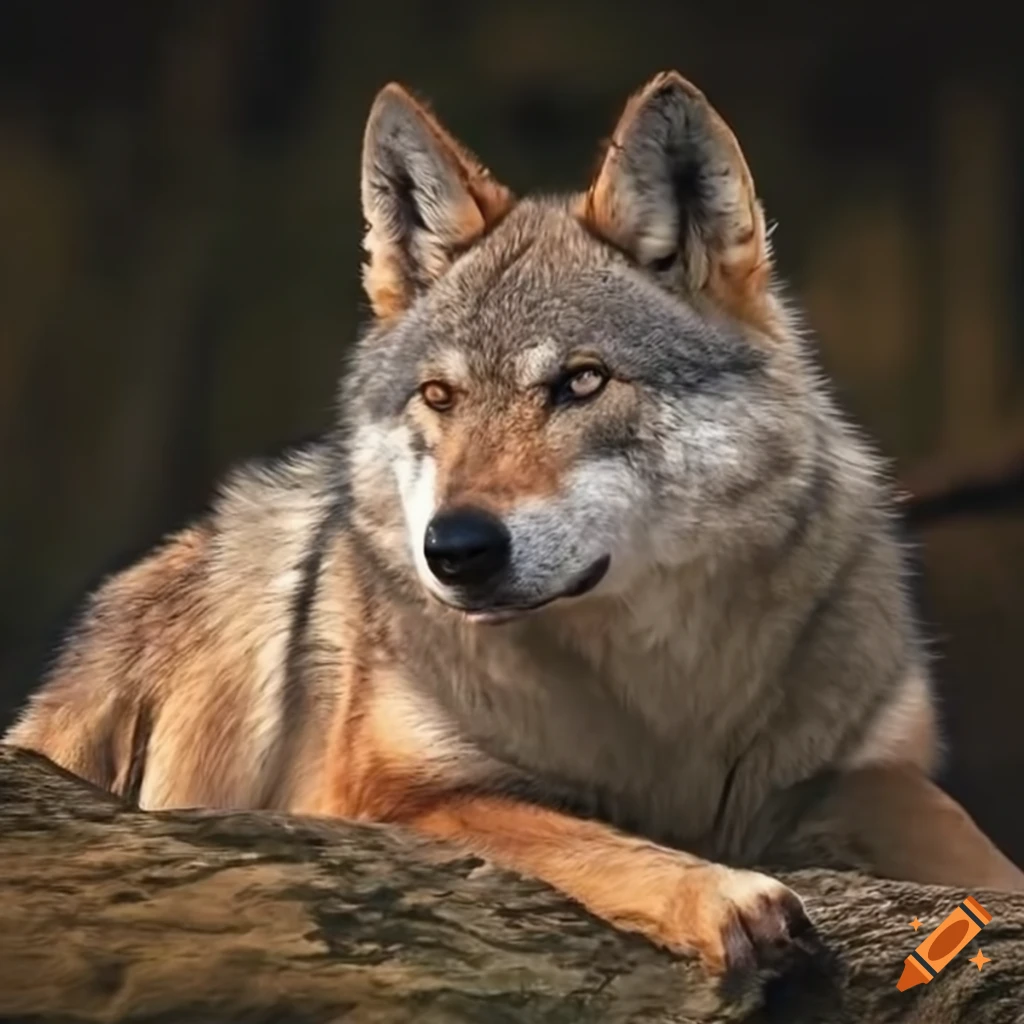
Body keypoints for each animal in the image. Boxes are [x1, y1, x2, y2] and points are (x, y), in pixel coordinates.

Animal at [7, 71, 1023, 973]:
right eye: (440, 396)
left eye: (581, 382)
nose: (454, 550)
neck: (663, 693)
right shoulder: (386, 794)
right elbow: (582, 837)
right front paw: (726, 897)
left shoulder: (864, 770)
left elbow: (969, 844)